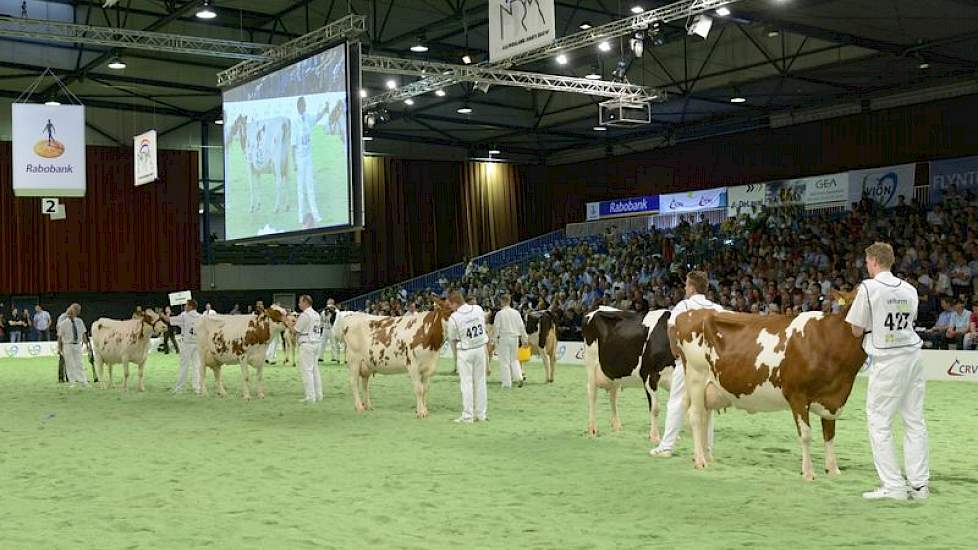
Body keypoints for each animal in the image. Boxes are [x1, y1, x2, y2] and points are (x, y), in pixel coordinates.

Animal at [580, 308, 672, 442]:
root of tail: (595, 311)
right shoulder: (649, 375)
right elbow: (655, 408)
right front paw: (654, 437)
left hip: (614, 375)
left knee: (613, 397)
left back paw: (616, 426)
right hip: (591, 365)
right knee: (592, 394)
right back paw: (592, 429)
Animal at [676, 294, 864, 484]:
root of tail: (689, 314)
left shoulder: (832, 399)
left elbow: (830, 434)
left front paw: (833, 470)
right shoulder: (797, 395)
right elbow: (806, 434)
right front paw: (808, 472)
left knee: (705, 417)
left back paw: (706, 458)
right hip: (696, 376)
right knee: (696, 416)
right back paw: (700, 461)